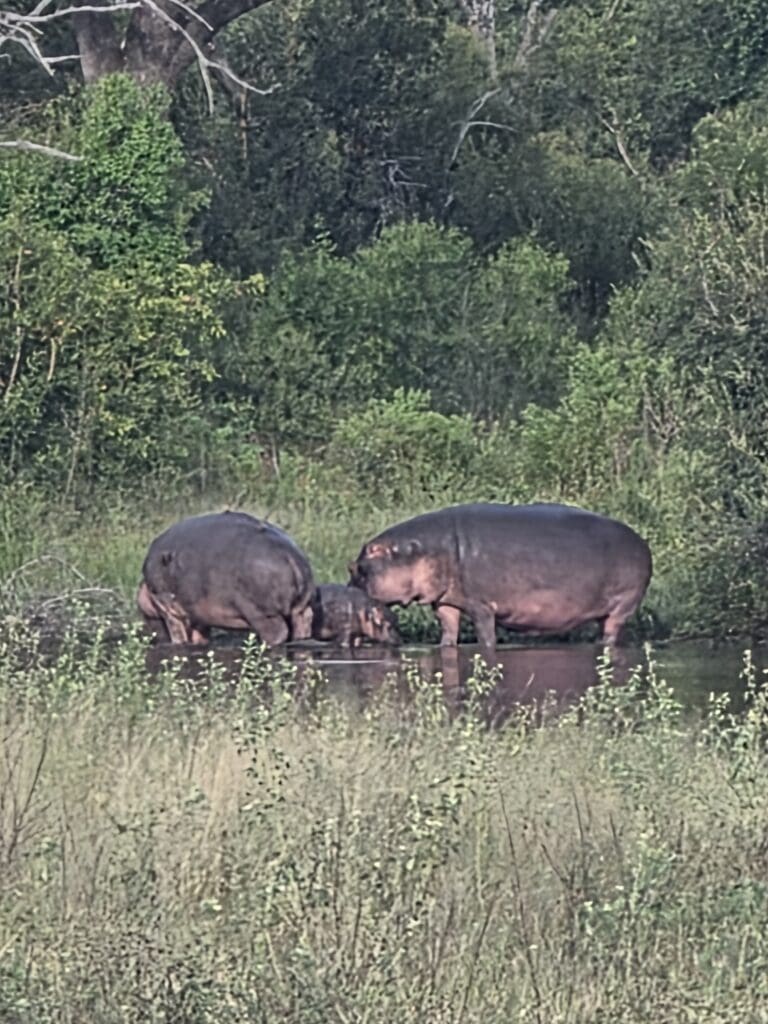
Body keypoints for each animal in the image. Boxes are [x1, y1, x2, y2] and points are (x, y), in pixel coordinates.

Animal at [139, 510, 314, 647]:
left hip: (262, 613)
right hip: (301, 608)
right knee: (302, 623)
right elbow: (199, 636)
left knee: (277, 633)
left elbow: (178, 635)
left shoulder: (168, 608)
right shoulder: (199, 615)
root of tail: (290, 556)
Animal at [348, 503, 652, 650]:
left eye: (356, 568)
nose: (345, 592)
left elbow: (486, 637)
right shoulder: (445, 602)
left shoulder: (481, 606)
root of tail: (641, 542)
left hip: (623, 606)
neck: (418, 550)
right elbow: (448, 631)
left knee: (611, 633)